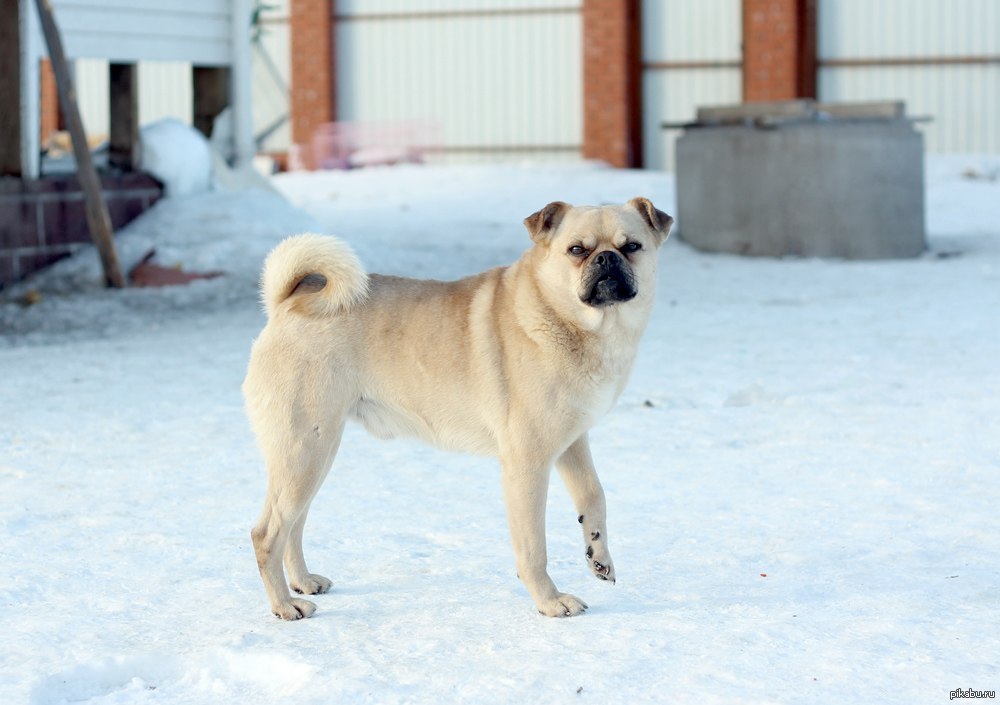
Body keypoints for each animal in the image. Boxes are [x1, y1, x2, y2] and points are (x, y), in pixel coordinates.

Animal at [242, 197, 672, 616]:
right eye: (577, 250)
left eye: (632, 247)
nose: (606, 259)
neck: (568, 319)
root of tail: (287, 302)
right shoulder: (528, 464)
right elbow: (533, 548)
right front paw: (550, 602)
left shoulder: (571, 443)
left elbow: (593, 496)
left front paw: (599, 557)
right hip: (305, 451)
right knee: (267, 533)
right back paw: (285, 606)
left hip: (315, 454)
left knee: (294, 525)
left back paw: (303, 583)